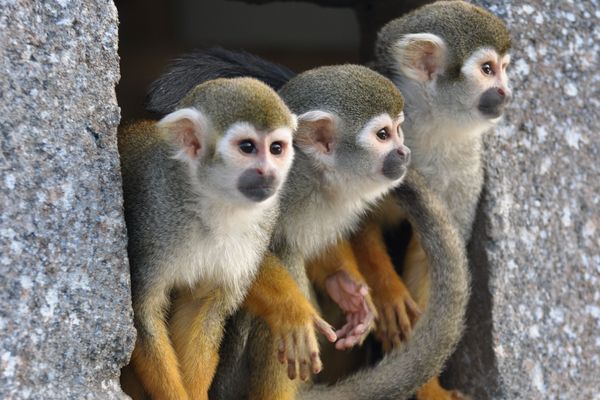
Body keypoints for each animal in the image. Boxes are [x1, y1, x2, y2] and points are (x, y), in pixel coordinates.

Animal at [118, 76, 296, 398]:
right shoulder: (155, 219)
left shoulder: (262, 226)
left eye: (276, 148)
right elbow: (143, 314)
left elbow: (203, 310)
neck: (214, 201)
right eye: (247, 147)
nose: (268, 173)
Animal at [145, 50, 468, 400]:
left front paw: (347, 288)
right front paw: (292, 310)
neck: (312, 176)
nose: (404, 152)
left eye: (400, 130)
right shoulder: (272, 195)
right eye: (384, 135)